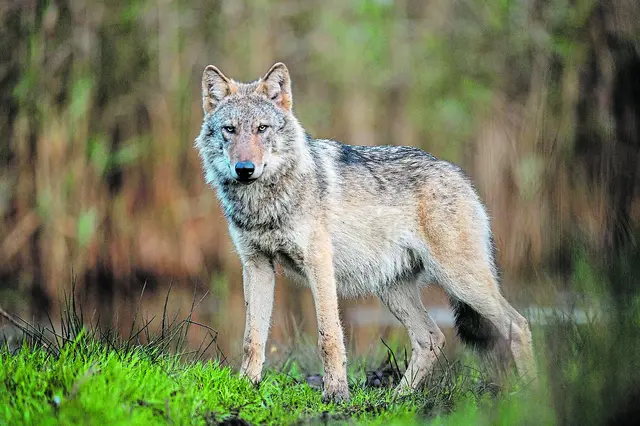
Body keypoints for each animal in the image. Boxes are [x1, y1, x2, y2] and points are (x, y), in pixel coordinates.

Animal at [195, 62, 535, 402]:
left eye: (262, 128)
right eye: (230, 129)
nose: (245, 169)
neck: (264, 203)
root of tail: (458, 174)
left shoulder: (319, 264)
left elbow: (329, 337)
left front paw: (336, 394)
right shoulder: (256, 265)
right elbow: (252, 338)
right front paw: (246, 386)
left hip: (460, 281)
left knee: (518, 324)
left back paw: (528, 393)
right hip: (393, 290)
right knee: (431, 338)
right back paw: (397, 398)